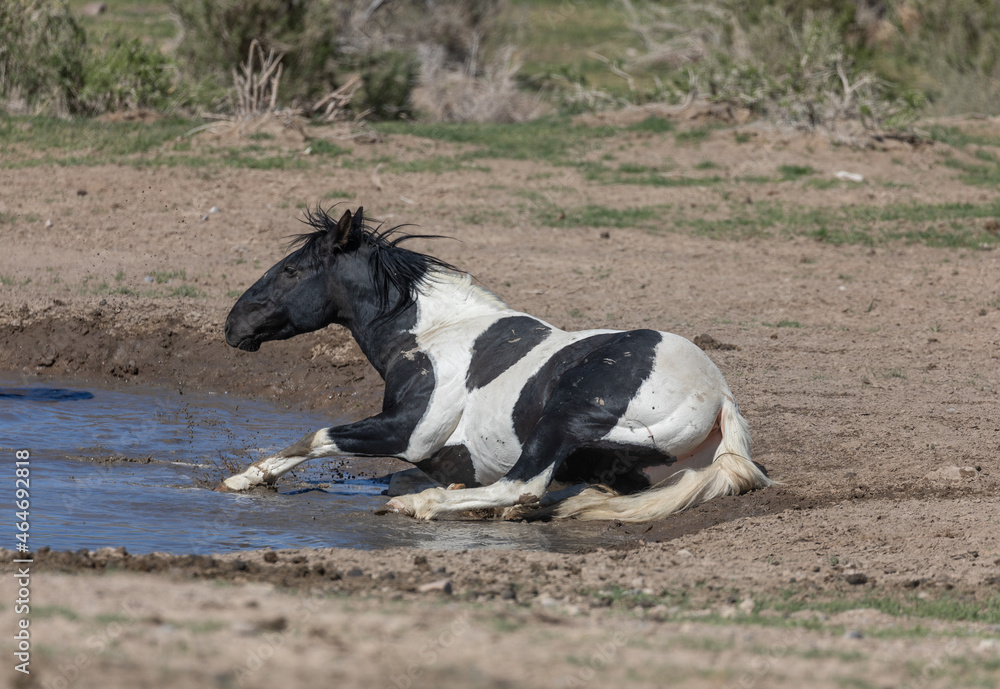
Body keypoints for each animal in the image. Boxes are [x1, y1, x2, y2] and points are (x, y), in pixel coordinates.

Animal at [220, 206, 772, 521]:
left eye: (292, 270)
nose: (232, 325)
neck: (432, 332)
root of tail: (719, 397)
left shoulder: (407, 432)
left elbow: (315, 437)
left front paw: (245, 480)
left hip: (563, 417)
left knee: (521, 486)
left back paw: (423, 507)